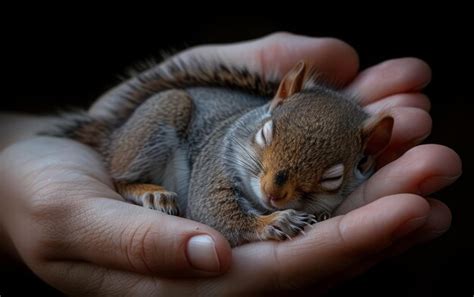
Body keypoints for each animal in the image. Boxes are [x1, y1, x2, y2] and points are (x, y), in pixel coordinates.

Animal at [46, 53, 394, 247]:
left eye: (333, 177)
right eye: (265, 132)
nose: (273, 193)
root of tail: (115, 134)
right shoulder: (214, 162)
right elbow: (214, 209)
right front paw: (276, 223)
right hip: (159, 117)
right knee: (118, 176)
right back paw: (151, 192)